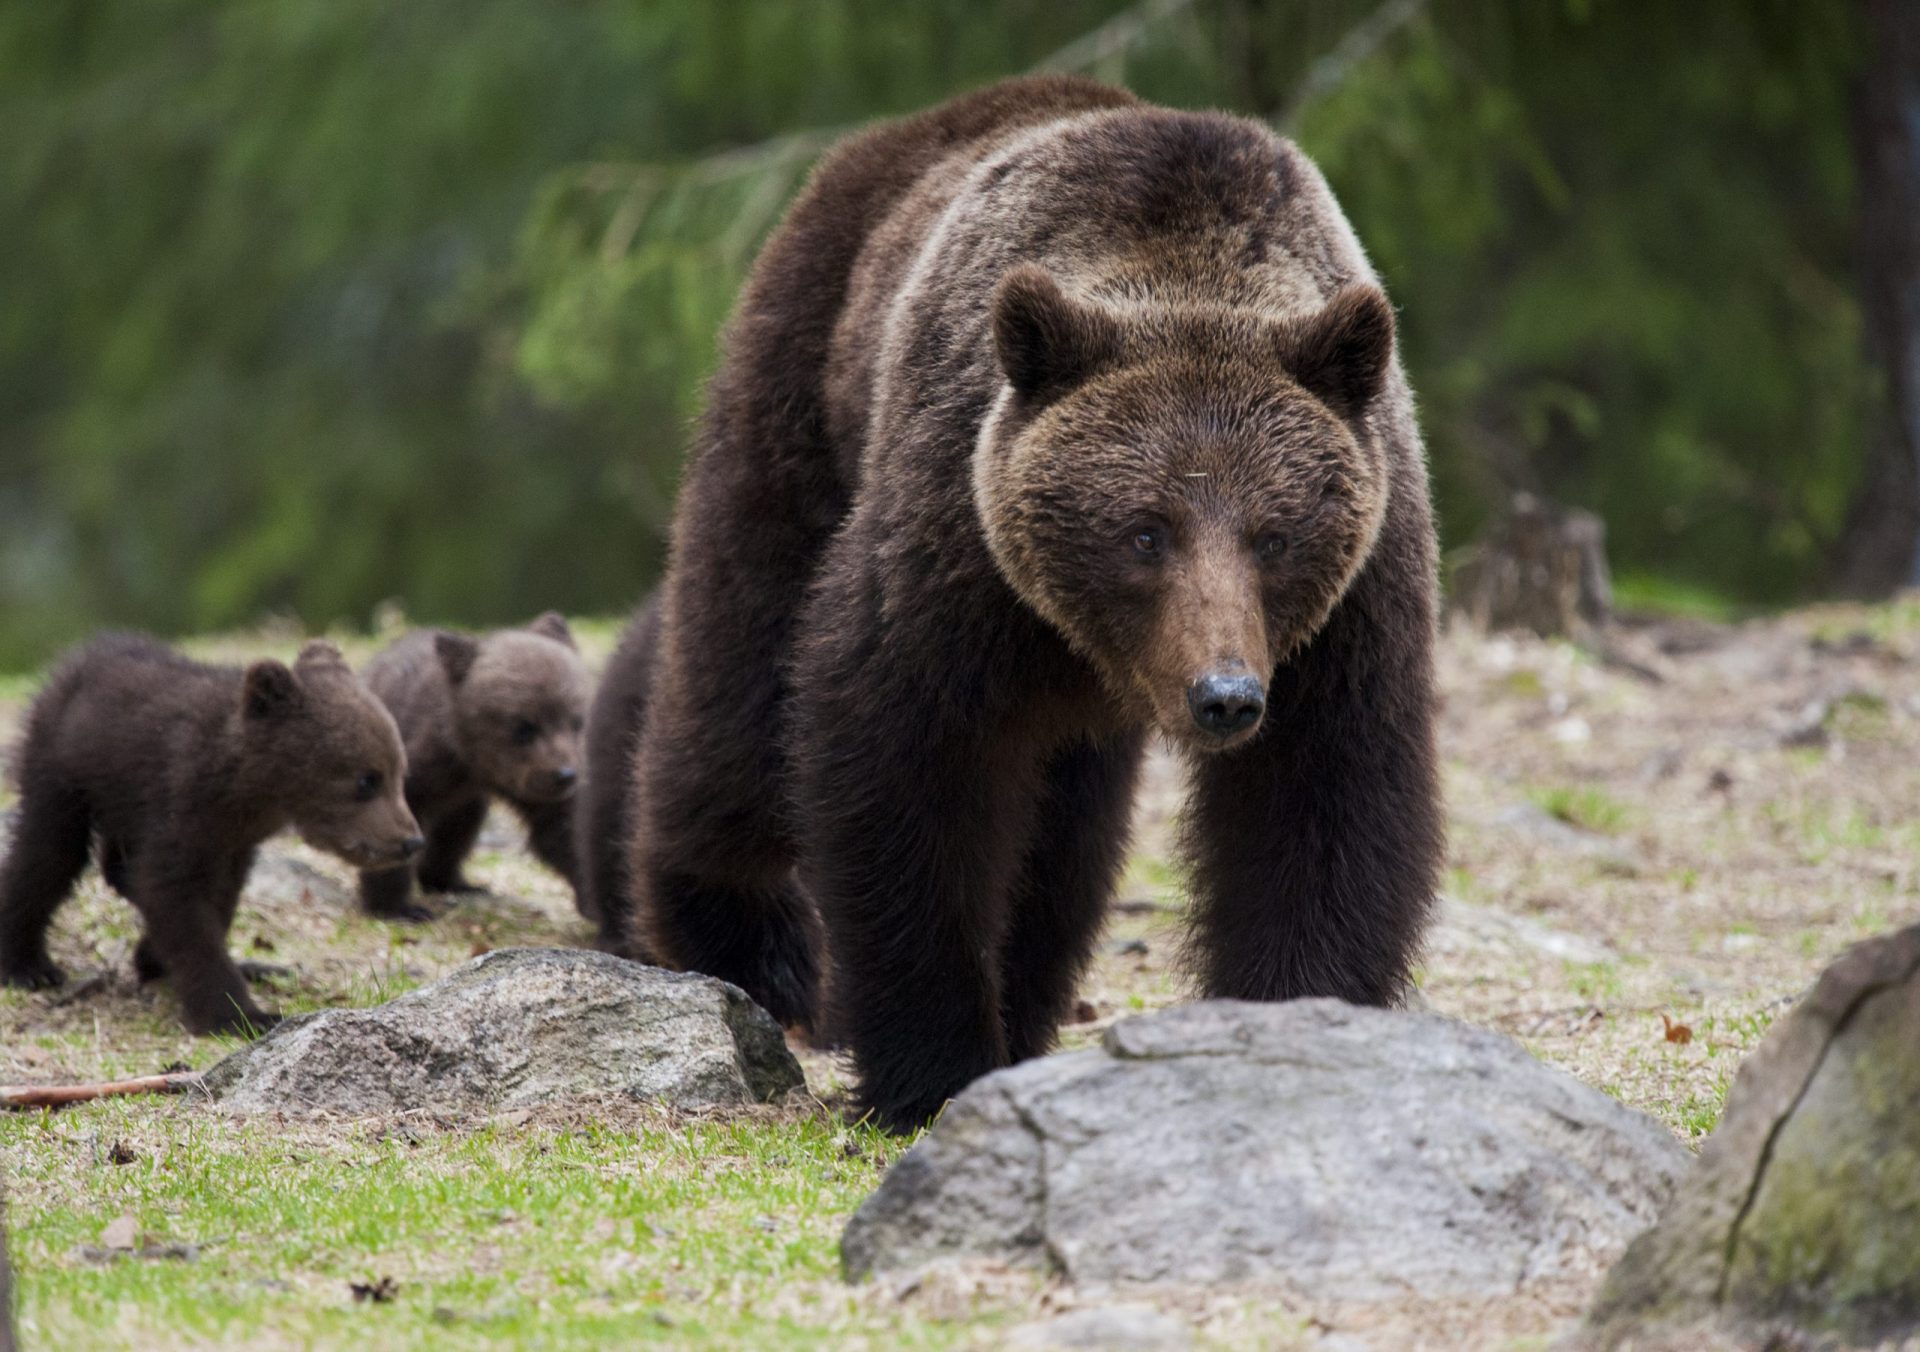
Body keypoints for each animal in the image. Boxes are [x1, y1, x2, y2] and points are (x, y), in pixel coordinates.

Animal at [625, 73, 1443, 1129]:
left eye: (1275, 535)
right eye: (1145, 531)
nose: (1224, 696)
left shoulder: (1344, 614)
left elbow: (1323, 798)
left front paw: (1293, 1018)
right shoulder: (956, 550)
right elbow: (906, 763)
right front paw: (931, 1066)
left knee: (1064, 841)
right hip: (800, 389)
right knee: (739, 658)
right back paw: (742, 938)